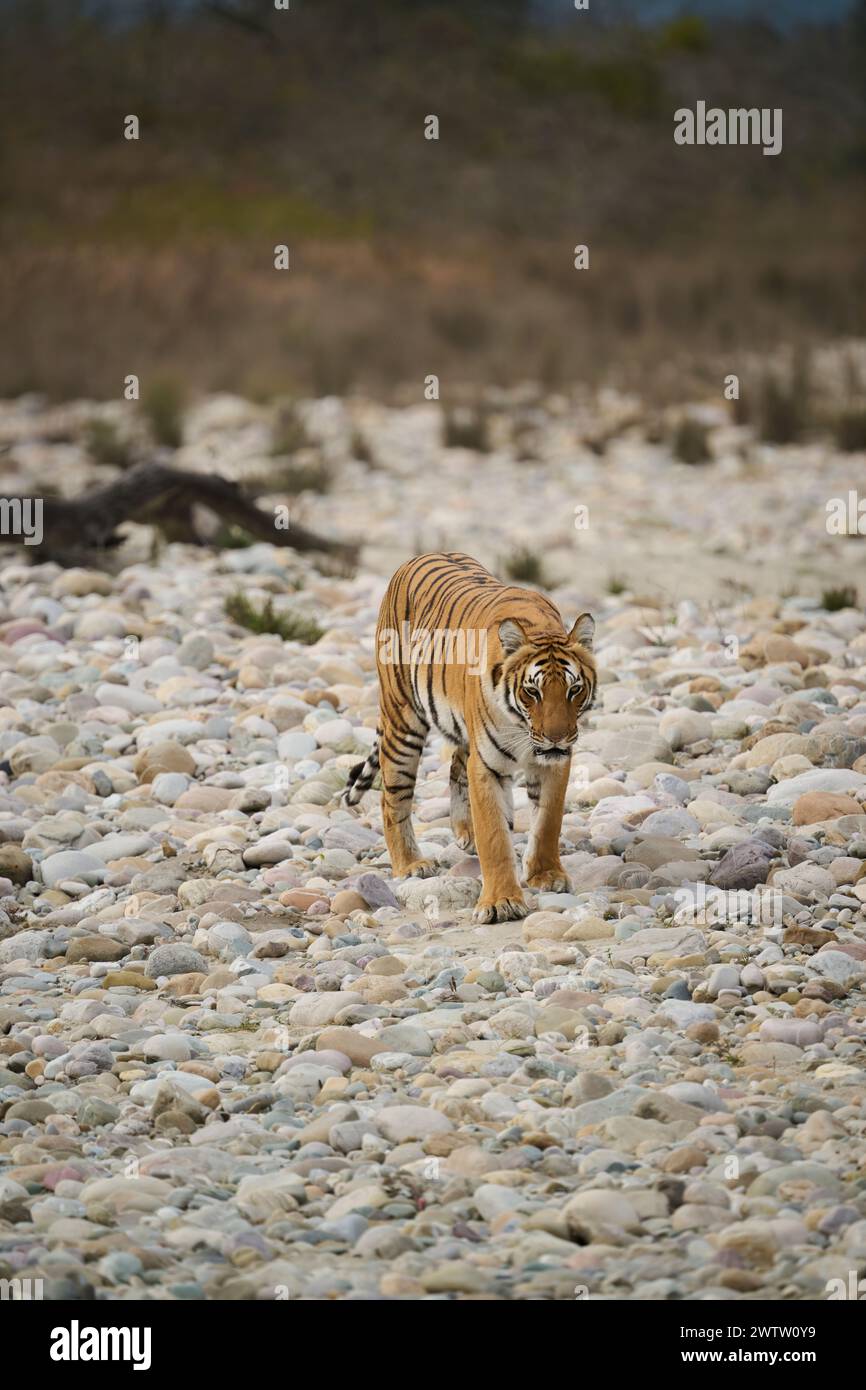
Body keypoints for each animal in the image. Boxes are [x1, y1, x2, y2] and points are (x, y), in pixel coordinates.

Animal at [343, 550, 594, 922]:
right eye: (532, 692)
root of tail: (419, 556)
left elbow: (548, 821)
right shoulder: (487, 764)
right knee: (393, 798)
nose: (556, 738)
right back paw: (411, 864)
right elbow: (494, 836)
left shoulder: (553, 764)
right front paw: (501, 902)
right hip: (402, 719)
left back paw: (465, 833)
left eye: (573, 690)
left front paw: (546, 875)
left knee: (456, 765)